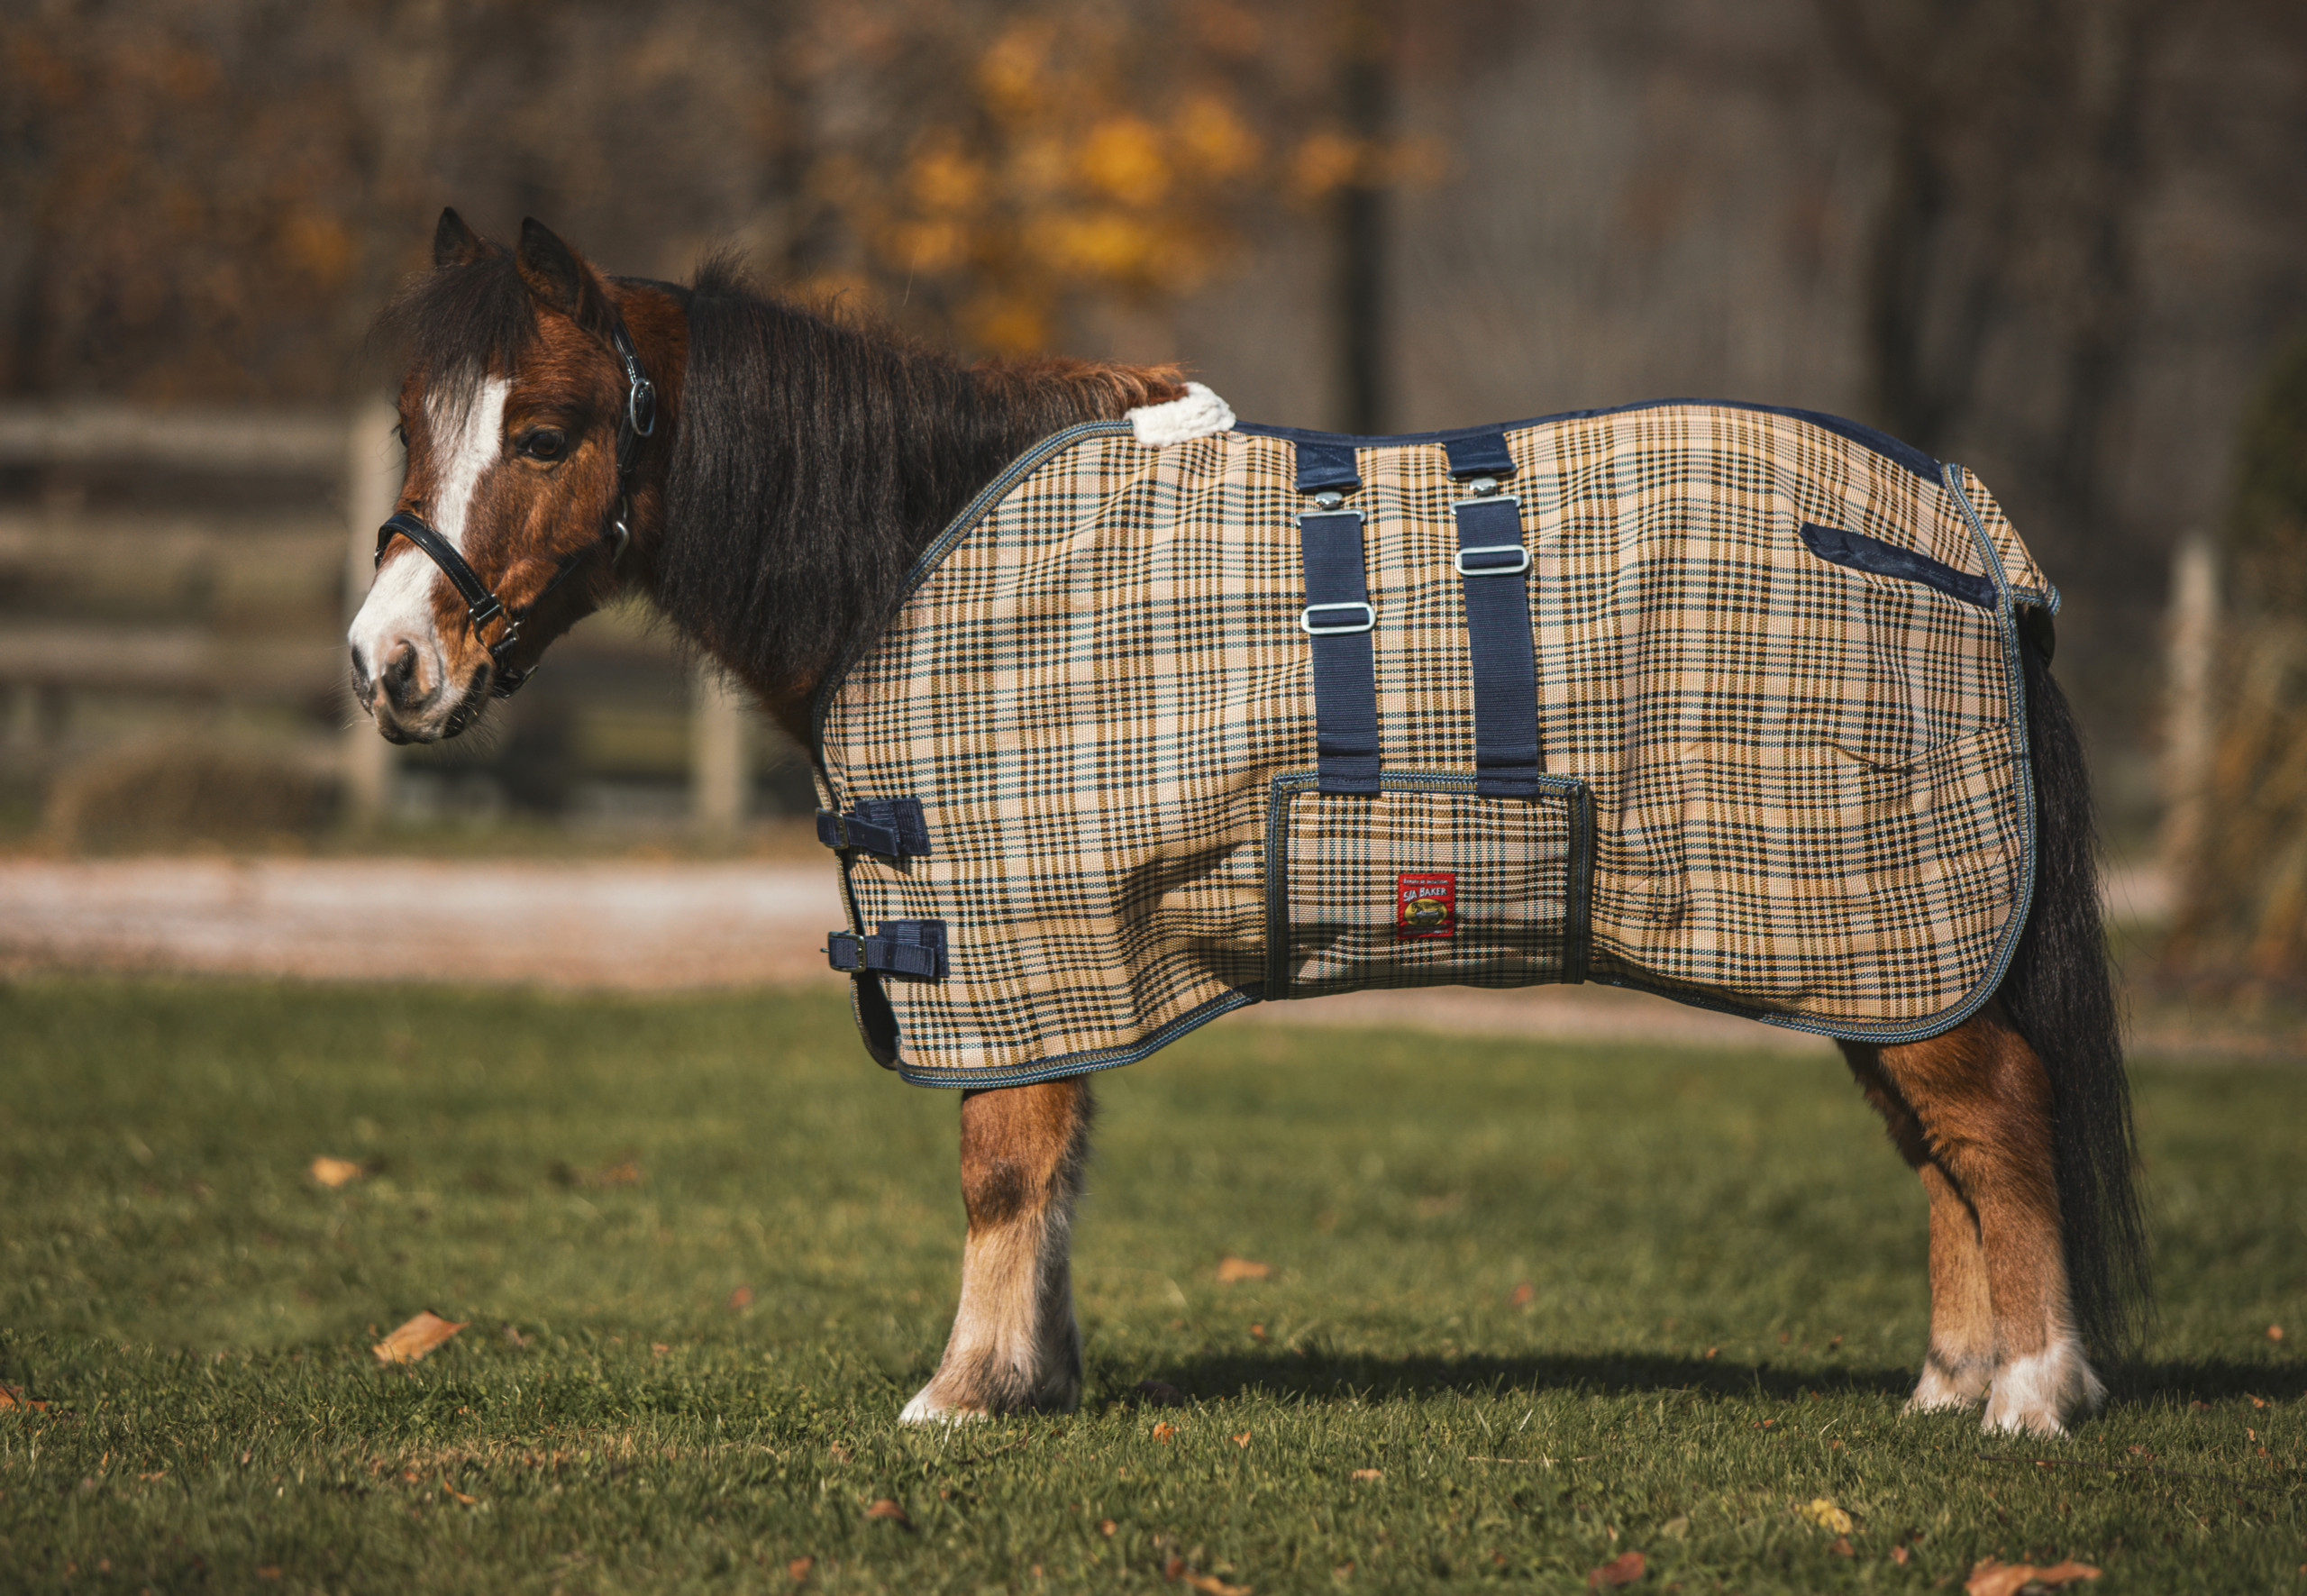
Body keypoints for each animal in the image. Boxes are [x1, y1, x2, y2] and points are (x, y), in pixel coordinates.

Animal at [348, 209, 2147, 1435]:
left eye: (548, 432)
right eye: (416, 424)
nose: (387, 665)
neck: (913, 551)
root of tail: (1970, 536)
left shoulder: (1020, 922)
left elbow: (1004, 1160)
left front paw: (961, 1387)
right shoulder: (1071, 944)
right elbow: (1058, 1161)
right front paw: (1034, 1371)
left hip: (1886, 910)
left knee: (1998, 1119)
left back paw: (2034, 1391)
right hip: (1868, 943)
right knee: (1941, 1143)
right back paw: (1952, 1376)